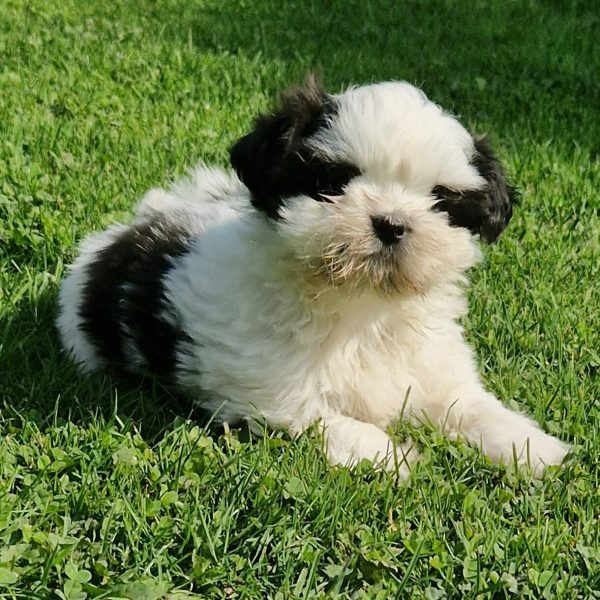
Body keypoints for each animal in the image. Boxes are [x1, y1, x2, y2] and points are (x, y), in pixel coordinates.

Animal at [58, 76, 568, 478]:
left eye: (440, 200)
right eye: (333, 182)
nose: (391, 223)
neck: (361, 304)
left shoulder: (430, 365)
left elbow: (466, 404)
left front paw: (529, 446)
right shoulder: (270, 387)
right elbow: (322, 416)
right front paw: (393, 458)